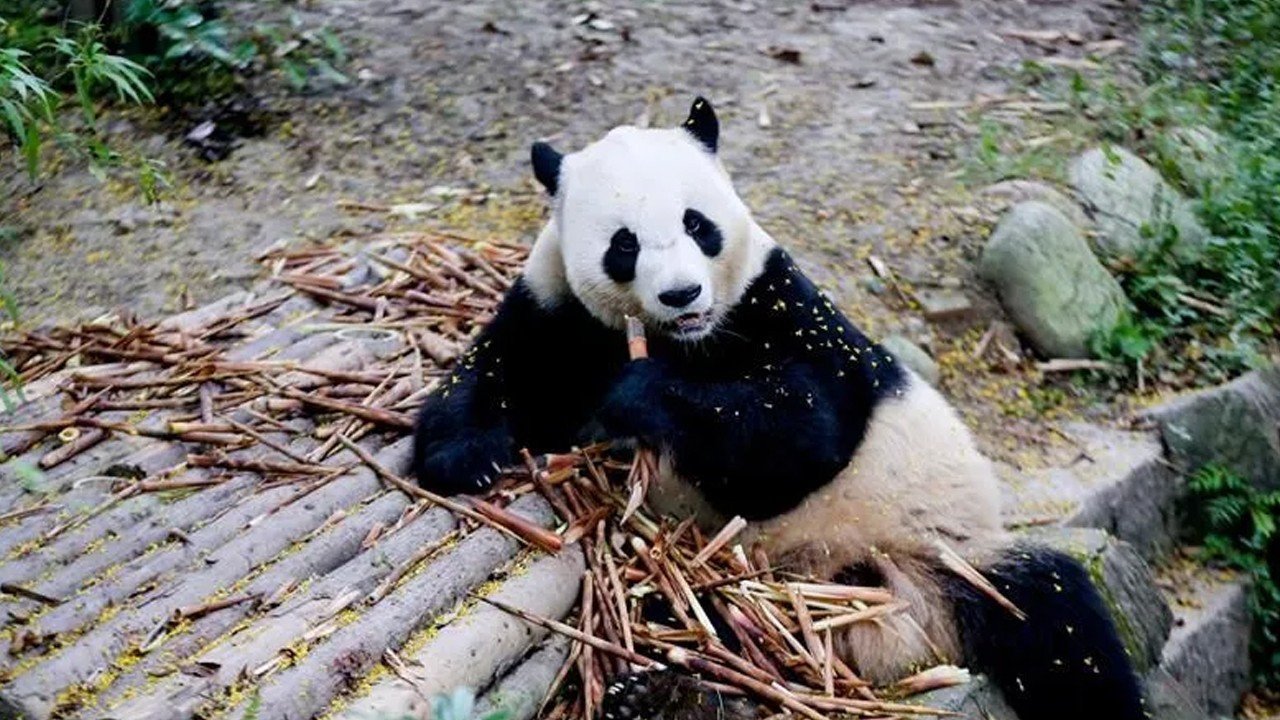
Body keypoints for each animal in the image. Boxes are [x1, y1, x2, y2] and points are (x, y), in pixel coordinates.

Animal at [412, 97, 1145, 720]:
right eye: (624, 243)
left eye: (696, 224)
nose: (681, 294)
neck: (687, 340)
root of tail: (889, 634)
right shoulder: (561, 311)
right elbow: (503, 371)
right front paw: (465, 458)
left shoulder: (781, 304)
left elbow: (803, 436)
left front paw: (640, 396)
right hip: (740, 581)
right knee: (695, 616)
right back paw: (668, 694)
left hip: (949, 554)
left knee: (1056, 621)